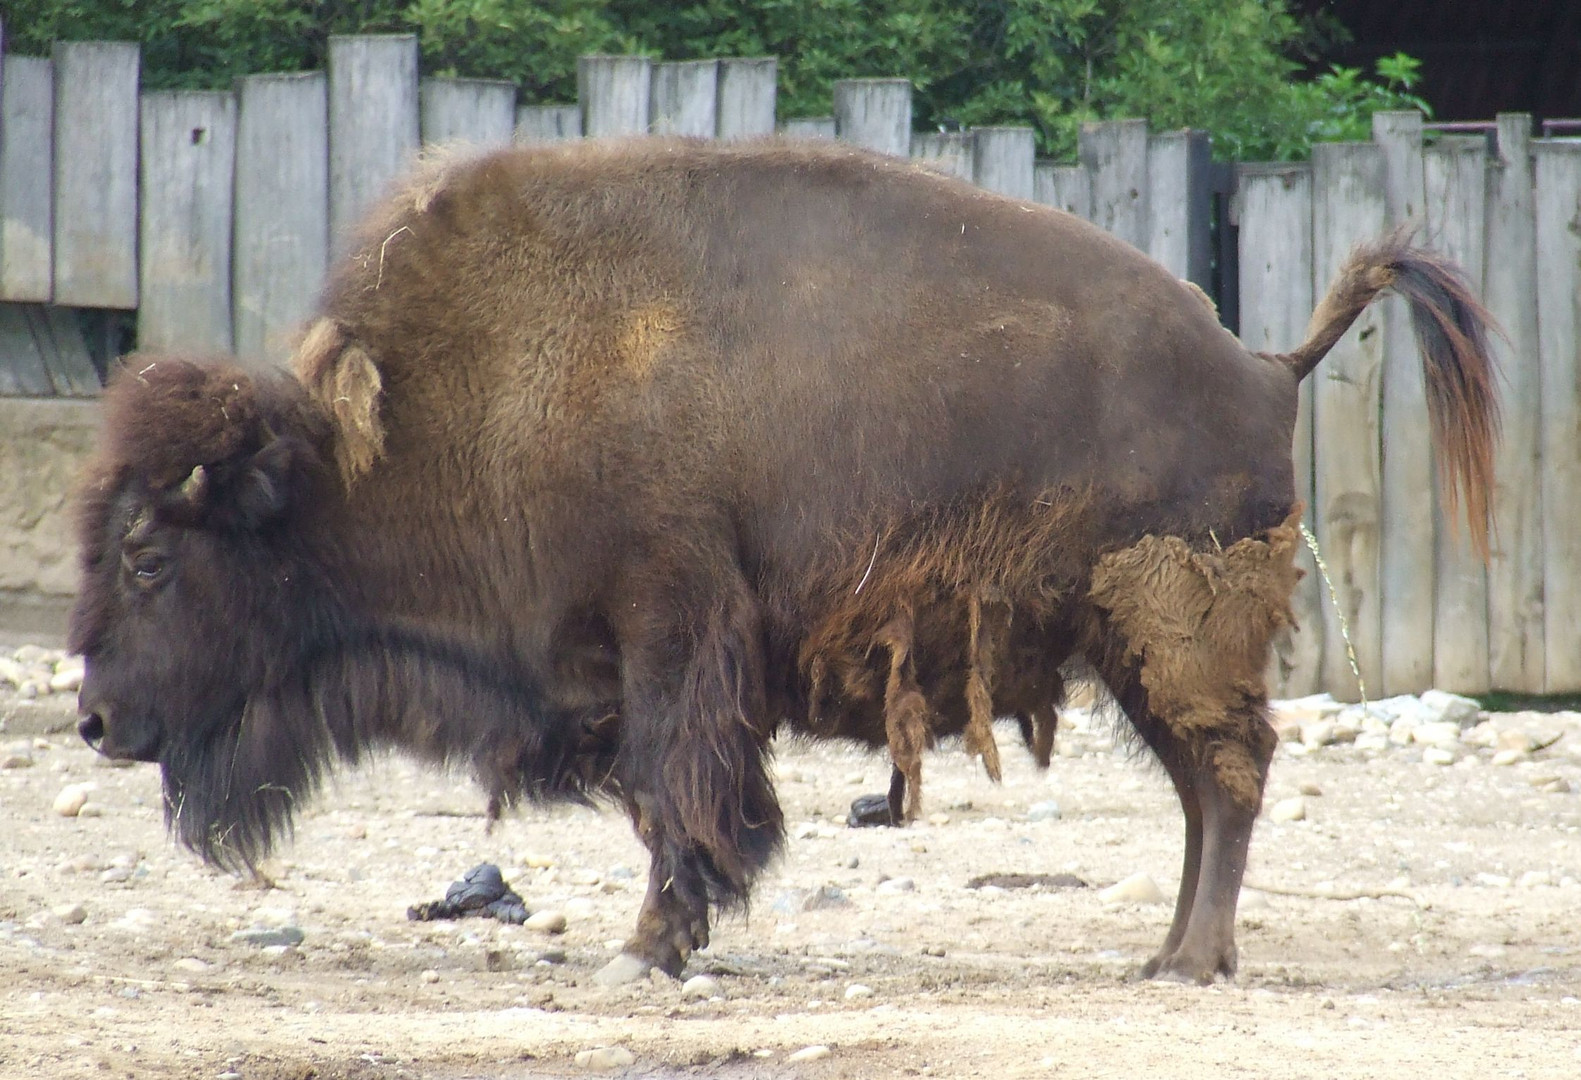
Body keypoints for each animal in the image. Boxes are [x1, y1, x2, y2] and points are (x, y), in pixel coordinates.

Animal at [71, 141, 1492, 986]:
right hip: (1136, 651)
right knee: (1207, 790)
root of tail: (1265, 361)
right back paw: (1166, 955)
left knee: (1230, 776)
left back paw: (1190, 961)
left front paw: (652, 946)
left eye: (147, 555)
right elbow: (669, 796)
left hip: (1172, 632)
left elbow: (677, 793)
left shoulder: (670, 635)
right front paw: (670, 938)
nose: (91, 721)